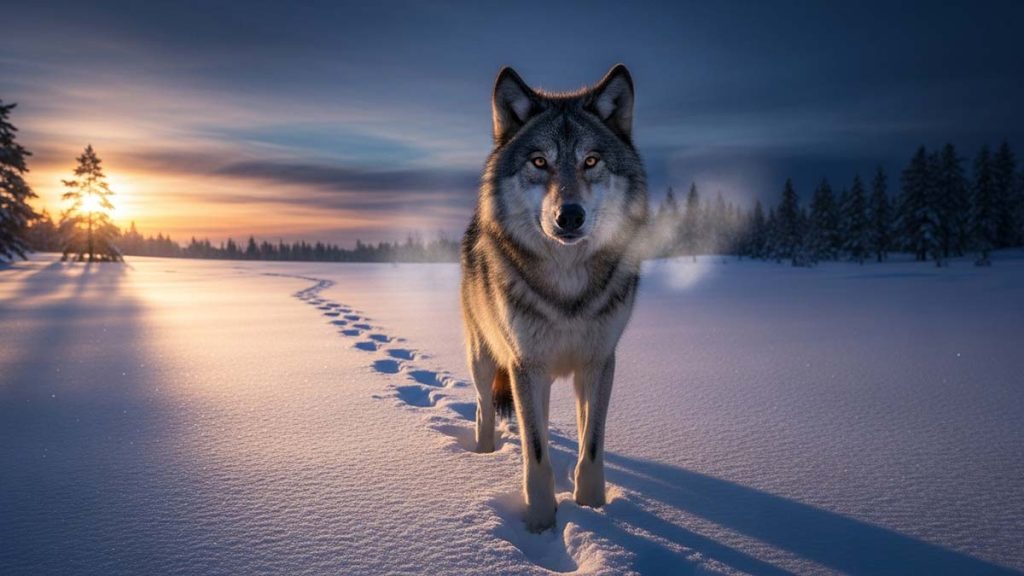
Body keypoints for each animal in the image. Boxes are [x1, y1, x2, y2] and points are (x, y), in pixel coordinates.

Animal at [460, 64, 648, 531]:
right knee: (485, 411)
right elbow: (536, 450)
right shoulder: (525, 365)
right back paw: (483, 455)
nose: (570, 216)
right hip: (485, 357)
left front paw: (593, 508)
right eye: (539, 161)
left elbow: (591, 444)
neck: (568, 286)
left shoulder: (599, 362)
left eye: (591, 161)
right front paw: (542, 522)